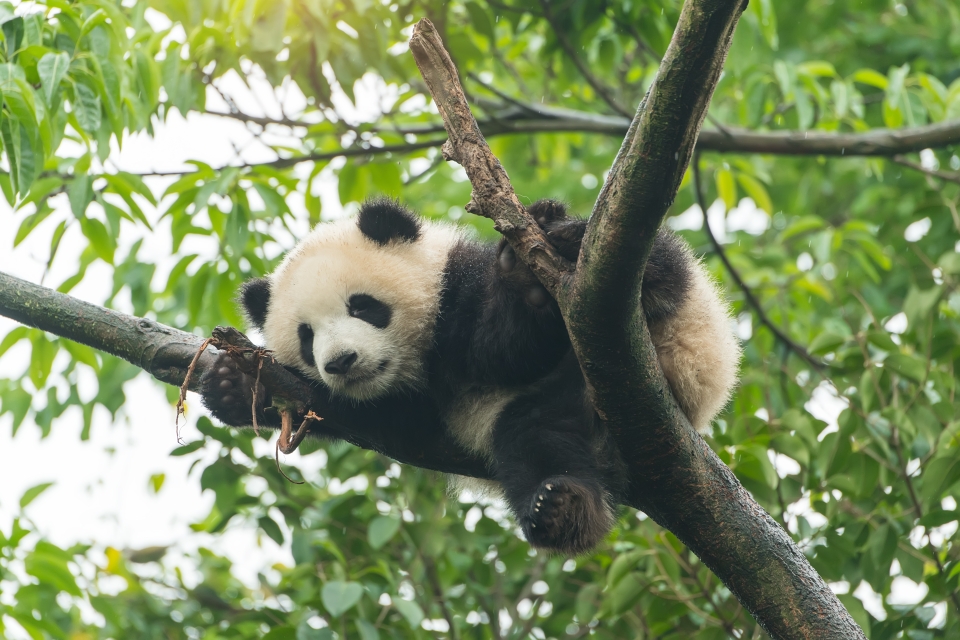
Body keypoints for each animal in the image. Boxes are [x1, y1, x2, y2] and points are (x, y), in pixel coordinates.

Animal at [201, 200, 744, 556]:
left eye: (362, 306)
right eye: (307, 337)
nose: (341, 362)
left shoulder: (460, 284)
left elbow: (508, 346)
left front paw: (522, 275)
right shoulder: (410, 406)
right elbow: (391, 423)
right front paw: (236, 385)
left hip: (670, 332)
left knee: (653, 266)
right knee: (537, 438)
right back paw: (563, 509)